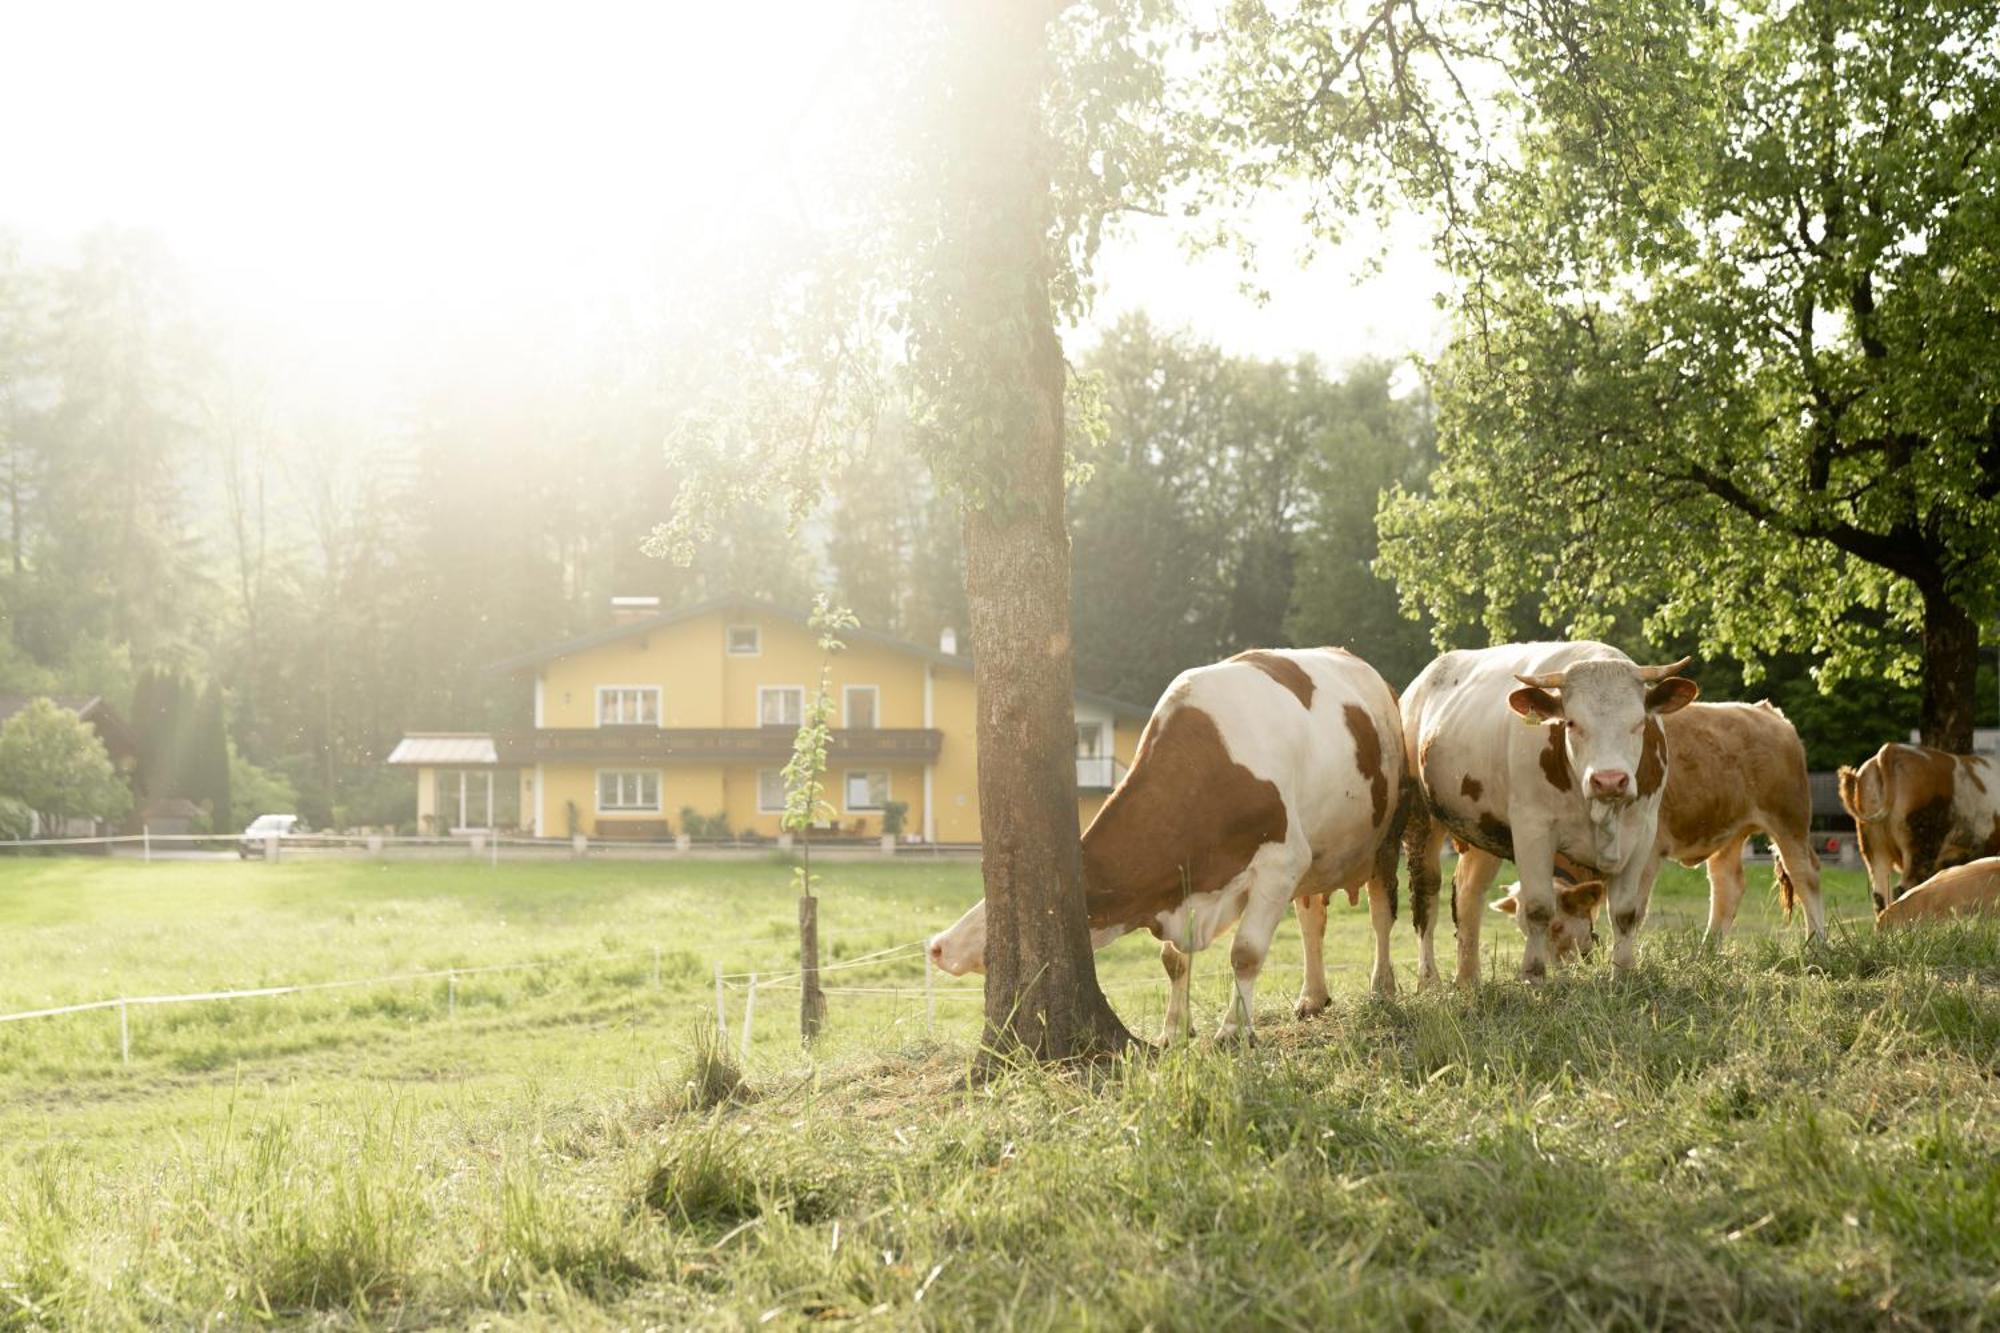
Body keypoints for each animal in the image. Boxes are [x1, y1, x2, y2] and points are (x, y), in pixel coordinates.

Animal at [924, 644, 1408, 1040]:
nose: (937, 945)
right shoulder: (1185, 881)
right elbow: (1174, 961)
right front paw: (1174, 1030)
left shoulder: (1282, 862)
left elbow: (1246, 953)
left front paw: (1234, 1030)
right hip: (1320, 856)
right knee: (1311, 918)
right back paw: (1313, 996)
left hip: (1386, 837)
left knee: (1381, 914)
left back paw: (1382, 988)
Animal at [1400, 640, 1696, 980]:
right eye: (1572, 723)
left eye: (1638, 724)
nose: (1609, 780)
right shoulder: (1532, 830)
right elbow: (1538, 907)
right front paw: (1534, 974)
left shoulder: (1642, 833)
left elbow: (1625, 912)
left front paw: (1622, 974)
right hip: (1420, 818)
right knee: (1425, 893)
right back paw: (1429, 979)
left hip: (1481, 830)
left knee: (1468, 893)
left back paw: (1468, 979)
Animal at [1448, 700, 1824, 948]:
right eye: (1524, 930)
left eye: (1556, 928)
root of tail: (1765, 711)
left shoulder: (1646, 853)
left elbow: (1630, 910)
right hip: (1729, 832)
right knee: (1727, 886)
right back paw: (1707, 952)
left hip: (1789, 819)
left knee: (1806, 875)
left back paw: (1817, 945)